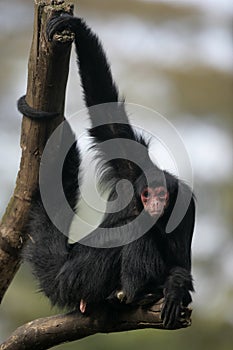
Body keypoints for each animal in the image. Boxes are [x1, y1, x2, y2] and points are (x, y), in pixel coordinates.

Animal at [19, 14, 196, 330]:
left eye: (161, 194)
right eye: (147, 194)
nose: (154, 203)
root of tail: (63, 270)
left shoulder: (185, 206)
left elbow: (180, 262)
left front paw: (175, 289)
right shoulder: (131, 168)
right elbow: (109, 121)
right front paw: (77, 28)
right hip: (81, 273)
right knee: (134, 229)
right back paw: (136, 293)